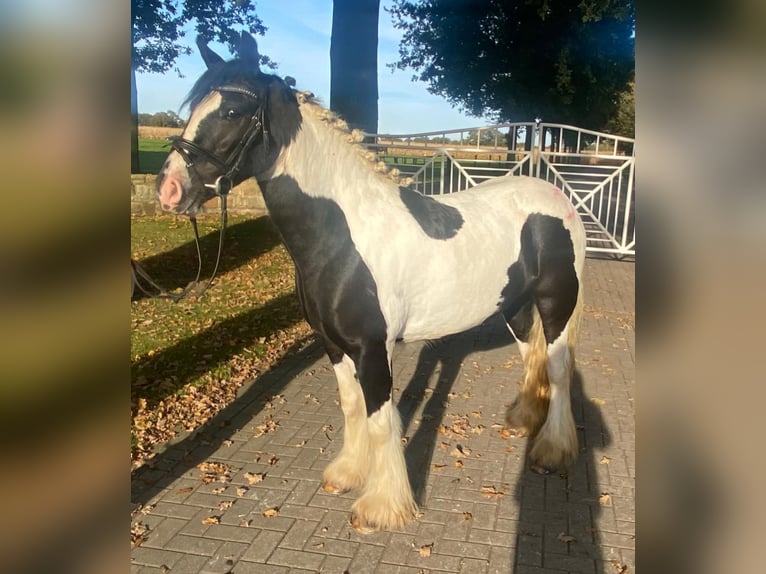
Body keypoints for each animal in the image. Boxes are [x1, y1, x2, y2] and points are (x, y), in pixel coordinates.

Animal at [156, 32, 588, 536]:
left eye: (230, 112)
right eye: (193, 108)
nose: (169, 189)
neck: (342, 235)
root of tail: (557, 197)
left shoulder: (372, 348)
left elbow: (382, 419)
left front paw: (382, 505)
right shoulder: (332, 344)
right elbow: (350, 406)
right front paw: (347, 473)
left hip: (557, 303)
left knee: (558, 367)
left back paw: (552, 450)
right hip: (515, 307)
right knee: (531, 355)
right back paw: (523, 419)